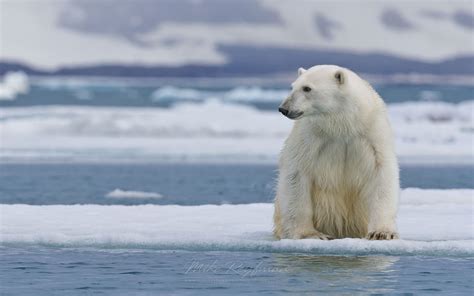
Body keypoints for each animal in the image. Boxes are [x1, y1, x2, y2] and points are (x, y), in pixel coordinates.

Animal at [274, 65, 400, 240]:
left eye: (307, 88)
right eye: (292, 86)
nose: (284, 108)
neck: (342, 124)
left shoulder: (373, 134)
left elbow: (382, 173)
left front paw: (381, 232)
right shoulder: (309, 136)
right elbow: (296, 173)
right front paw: (310, 234)